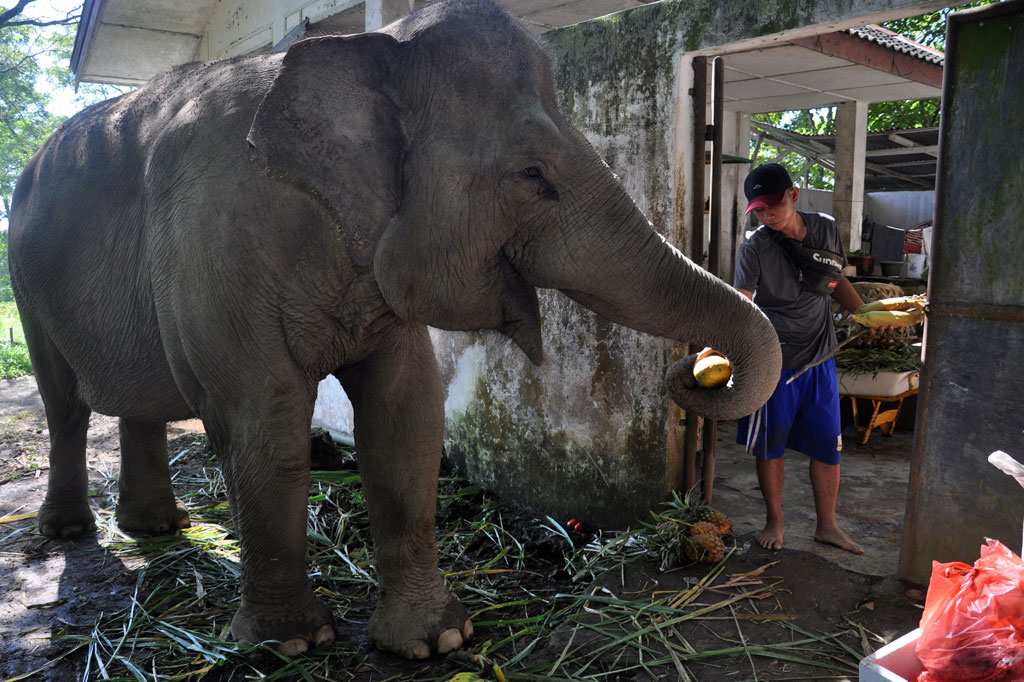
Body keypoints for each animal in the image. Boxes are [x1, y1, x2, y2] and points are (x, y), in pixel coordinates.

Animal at [8, 0, 778, 659]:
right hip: (26, 280)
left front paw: (439, 641)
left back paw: (156, 530)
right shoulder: (213, 247)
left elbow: (407, 415)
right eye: (531, 174)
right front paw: (290, 645)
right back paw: (73, 530)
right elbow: (265, 420)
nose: (697, 370)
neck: (372, 48)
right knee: (64, 403)